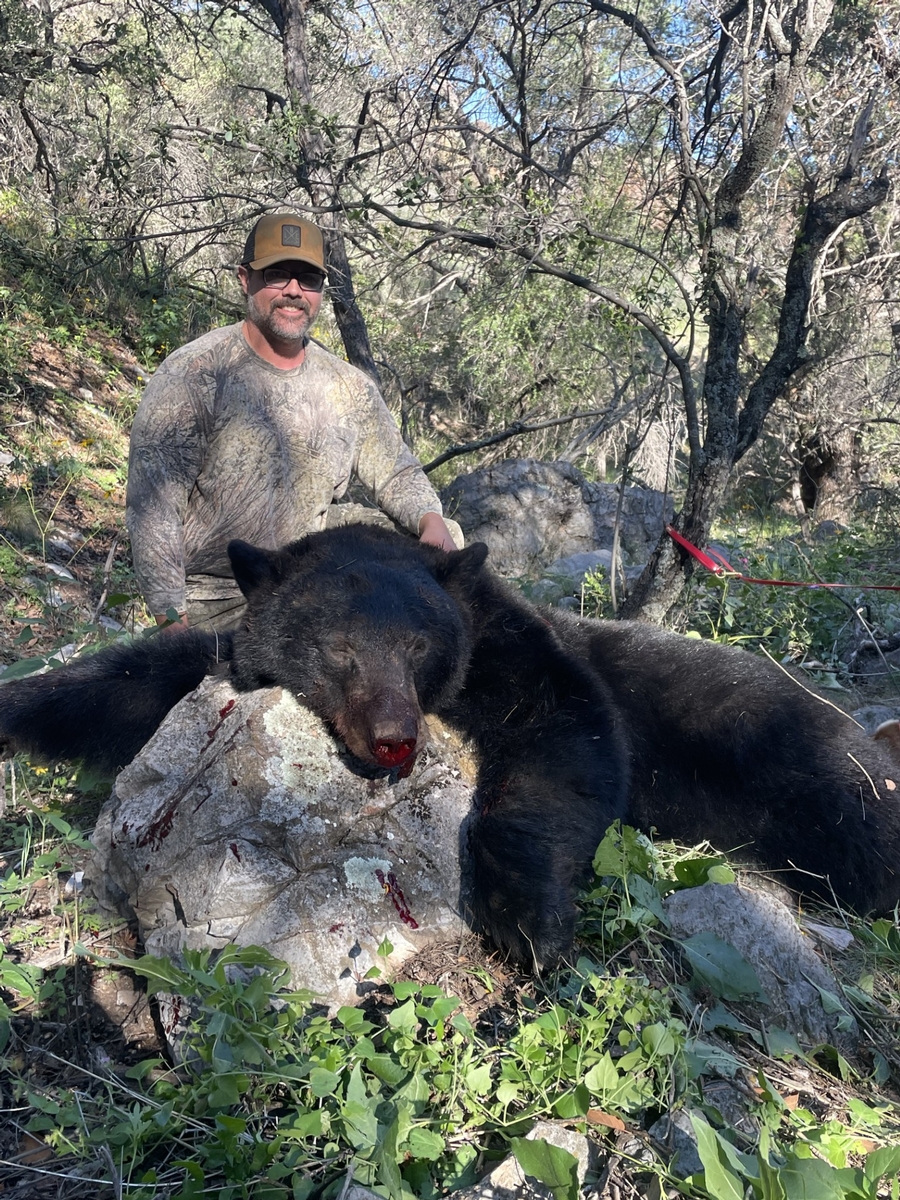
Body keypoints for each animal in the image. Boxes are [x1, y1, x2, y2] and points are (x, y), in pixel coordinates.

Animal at [1, 523, 898, 968]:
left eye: (417, 646)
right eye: (338, 650)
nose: (394, 739)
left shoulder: (513, 648)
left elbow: (568, 746)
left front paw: (530, 918)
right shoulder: (221, 657)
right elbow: (132, 680)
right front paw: (20, 706)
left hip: (803, 762)